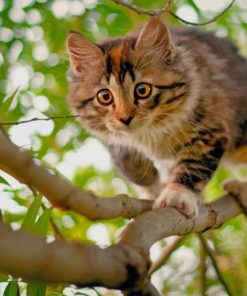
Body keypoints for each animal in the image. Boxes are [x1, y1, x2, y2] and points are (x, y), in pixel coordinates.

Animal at [65, 17, 247, 219]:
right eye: (105, 96)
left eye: (142, 90)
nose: (125, 118)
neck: (151, 131)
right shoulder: (113, 138)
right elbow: (127, 161)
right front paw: (150, 181)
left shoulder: (210, 130)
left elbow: (193, 166)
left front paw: (177, 195)